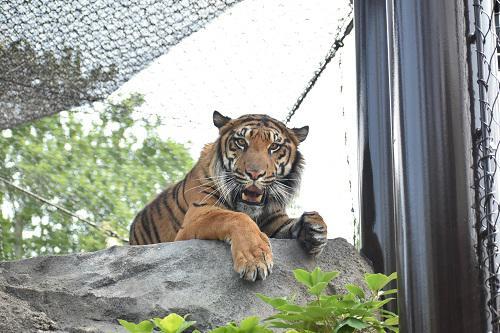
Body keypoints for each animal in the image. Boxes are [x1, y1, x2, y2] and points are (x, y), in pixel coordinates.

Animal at [129, 111, 328, 280]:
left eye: (274, 146)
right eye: (241, 142)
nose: (255, 174)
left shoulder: (275, 221)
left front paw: (315, 229)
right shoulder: (197, 215)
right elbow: (234, 217)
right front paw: (255, 258)